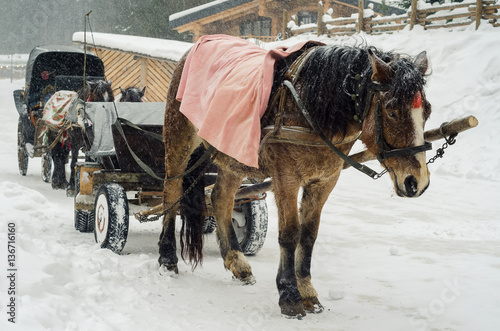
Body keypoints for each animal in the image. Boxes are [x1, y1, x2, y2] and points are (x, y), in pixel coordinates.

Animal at [159, 42, 430, 320]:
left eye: (427, 111)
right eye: (392, 112)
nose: (416, 182)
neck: (309, 106)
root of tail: (194, 47)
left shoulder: (324, 181)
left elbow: (308, 234)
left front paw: (307, 290)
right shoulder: (285, 177)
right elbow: (290, 233)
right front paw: (289, 293)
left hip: (232, 154)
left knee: (221, 198)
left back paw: (237, 261)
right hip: (179, 136)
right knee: (171, 191)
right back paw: (168, 257)